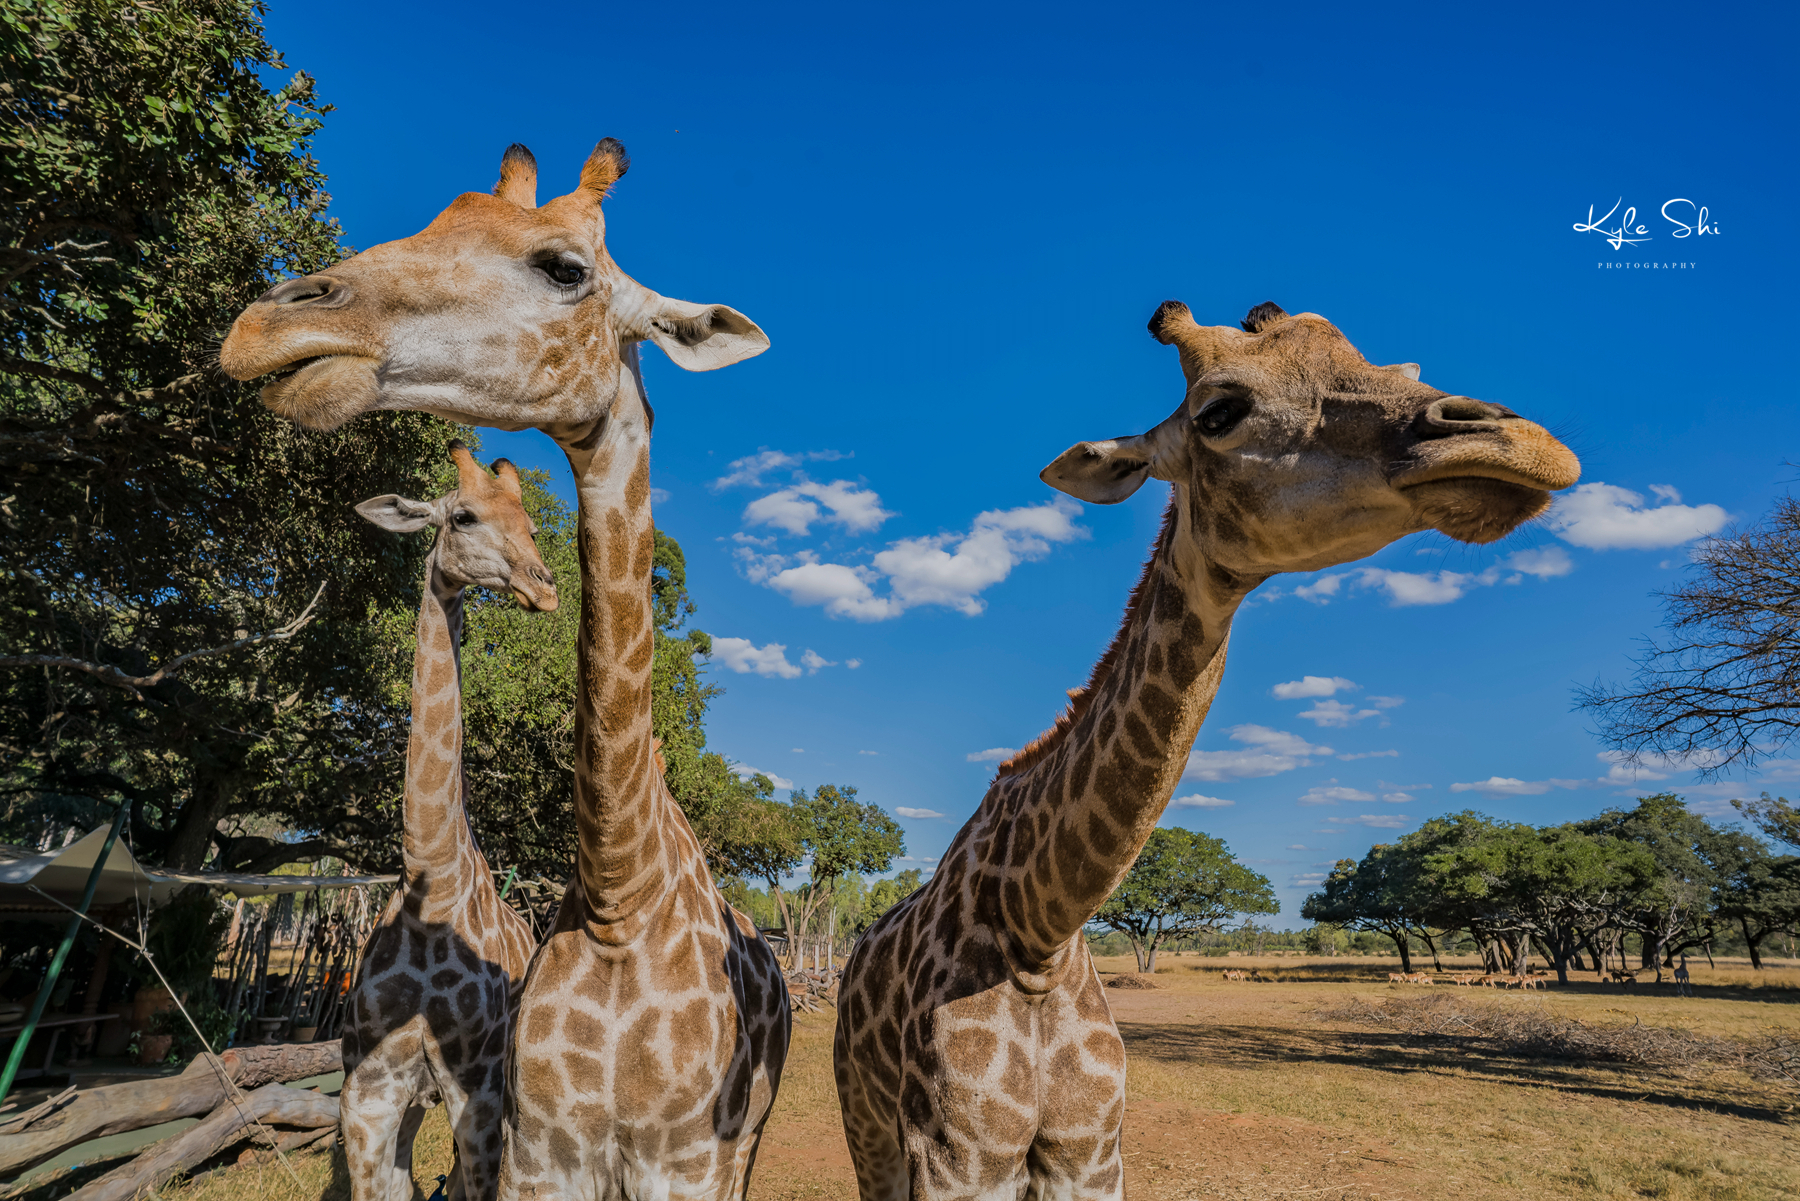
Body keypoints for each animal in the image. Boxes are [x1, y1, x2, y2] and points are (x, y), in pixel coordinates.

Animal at [342, 444, 554, 1201]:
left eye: (529, 522)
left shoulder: (480, 1095)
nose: (546, 588)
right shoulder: (368, 1093)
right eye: (463, 516)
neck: (427, 870)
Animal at [828, 295, 1576, 1195]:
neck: (1037, 929)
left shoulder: (1092, 1150)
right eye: (1220, 410)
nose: (1518, 443)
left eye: (1402, 369)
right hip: (869, 1126)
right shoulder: (958, 1157)